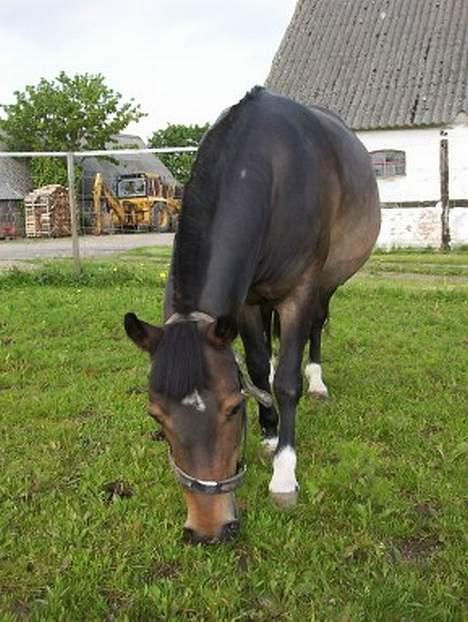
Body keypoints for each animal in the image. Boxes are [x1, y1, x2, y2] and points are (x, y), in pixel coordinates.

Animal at [125, 85, 380, 544]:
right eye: (156, 416)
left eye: (231, 409)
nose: (208, 529)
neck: (271, 167)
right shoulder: (242, 304)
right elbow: (260, 370)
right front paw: (269, 432)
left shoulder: (300, 291)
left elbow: (287, 383)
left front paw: (284, 473)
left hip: (327, 283)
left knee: (317, 326)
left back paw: (318, 381)